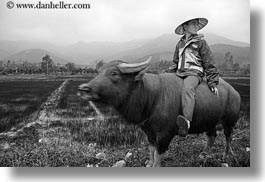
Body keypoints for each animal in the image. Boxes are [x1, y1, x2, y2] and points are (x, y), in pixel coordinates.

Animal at [77, 56, 240, 166]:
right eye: (99, 72)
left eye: (114, 73)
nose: (84, 88)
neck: (152, 97)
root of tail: (234, 91)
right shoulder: (148, 131)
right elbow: (151, 149)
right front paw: (149, 163)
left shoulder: (165, 134)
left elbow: (159, 153)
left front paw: (155, 165)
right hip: (210, 120)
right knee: (212, 135)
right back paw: (204, 154)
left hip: (229, 121)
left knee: (228, 137)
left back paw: (226, 155)